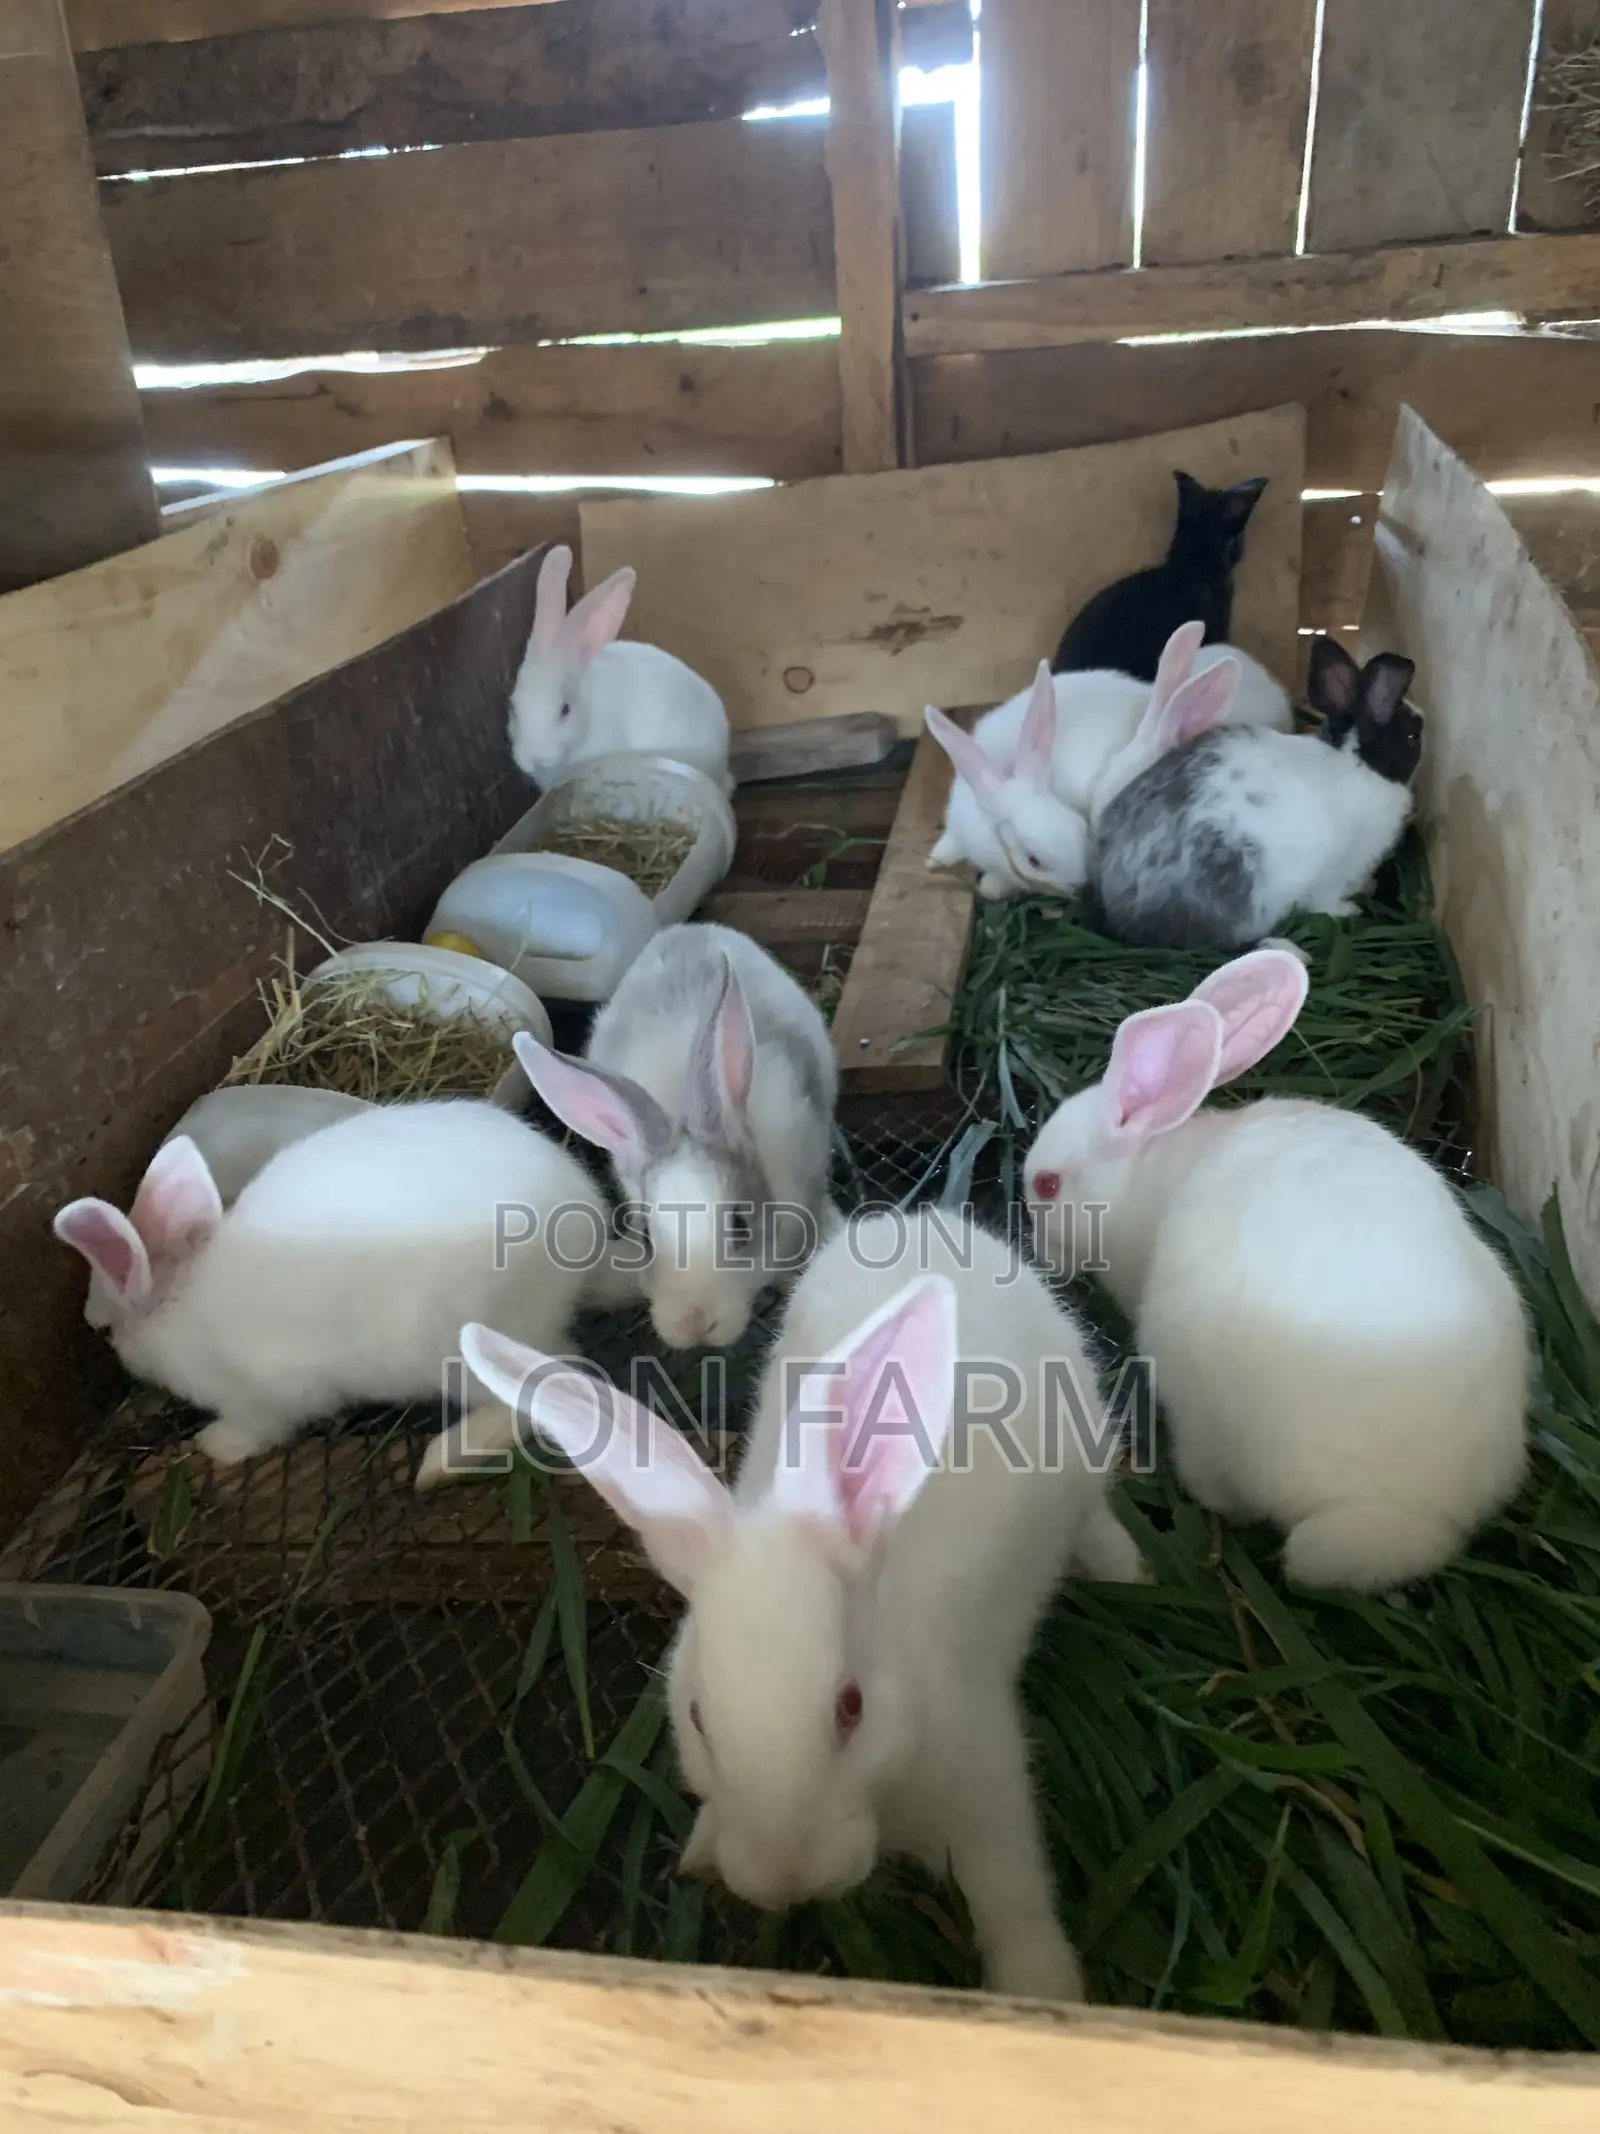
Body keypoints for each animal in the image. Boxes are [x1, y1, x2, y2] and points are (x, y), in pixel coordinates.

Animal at [53, 1101, 621, 1468]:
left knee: (551, 1382)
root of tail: (584, 1242)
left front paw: (215, 1447)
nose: (96, 1329)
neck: (179, 1299)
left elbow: (257, 1428)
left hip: (460, 1349)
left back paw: (441, 1461)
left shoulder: (262, 1398)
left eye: (105, 1330)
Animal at [454, 1204, 1147, 1999]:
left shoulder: (984, 1774)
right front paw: (702, 1850)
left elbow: (1013, 1897)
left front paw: (1043, 1992)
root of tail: (918, 1221)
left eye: (852, 1707)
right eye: (698, 1717)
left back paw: (1128, 1571)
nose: (787, 1881)